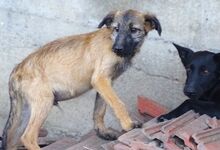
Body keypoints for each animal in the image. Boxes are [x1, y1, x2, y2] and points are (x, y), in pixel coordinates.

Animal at [1, 9, 160, 150]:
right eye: (116, 29)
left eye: (134, 30)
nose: (117, 49)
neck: (111, 40)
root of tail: (16, 70)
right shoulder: (100, 79)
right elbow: (118, 103)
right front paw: (128, 124)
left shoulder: (106, 83)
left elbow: (100, 110)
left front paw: (102, 132)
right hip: (43, 102)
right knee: (28, 137)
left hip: (26, 109)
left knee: (12, 140)